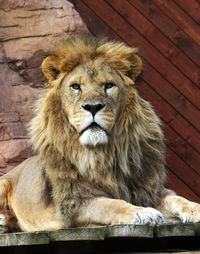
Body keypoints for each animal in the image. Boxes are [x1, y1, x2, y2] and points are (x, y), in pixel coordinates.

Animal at [0, 35, 200, 232]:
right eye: (76, 87)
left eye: (109, 85)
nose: (93, 107)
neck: (106, 152)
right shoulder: (75, 202)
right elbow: (112, 204)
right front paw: (142, 212)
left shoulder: (149, 190)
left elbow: (176, 198)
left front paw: (194, 209)